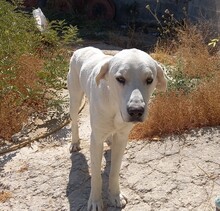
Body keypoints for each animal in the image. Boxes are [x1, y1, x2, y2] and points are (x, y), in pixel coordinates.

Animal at [67, 47, 167, 210]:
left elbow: (114, 171)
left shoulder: (122, 138)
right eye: (120, 79)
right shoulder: (96, 140)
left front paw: (115, 195)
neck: (114, 104)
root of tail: (82, 48)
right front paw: (95, 201)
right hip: (75, 99)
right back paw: (75, 142)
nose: (136, 111)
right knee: (74, 121)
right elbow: (96, 175)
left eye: (149, 80)